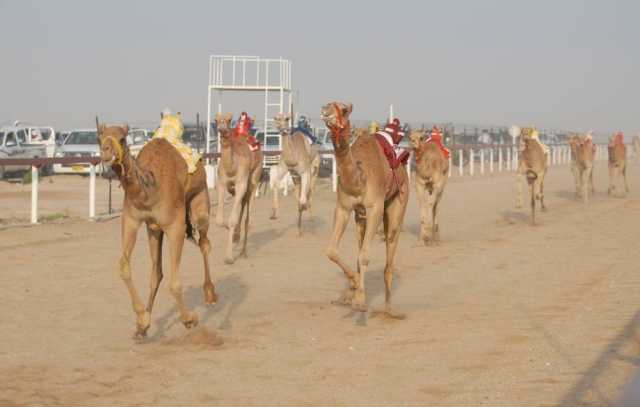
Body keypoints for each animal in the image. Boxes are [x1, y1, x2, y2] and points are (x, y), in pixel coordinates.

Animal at [96, 122, 214, 340]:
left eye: (122, 139)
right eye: (99, 138)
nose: (105, 152)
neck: (149, 190)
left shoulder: (175, 227)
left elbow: (175, 284)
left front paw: (189, 319)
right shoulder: (132, 220)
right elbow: (124, 267)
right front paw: (142, 321)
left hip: (200, 197)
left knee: (204, 243)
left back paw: (210, 294)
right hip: (154, 231)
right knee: (156, 272)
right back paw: (143, 326)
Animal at [215, 112, 262, 264]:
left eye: (229, 120)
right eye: (216, 120)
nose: (222, 129)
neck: (232, 167)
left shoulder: (241, 183)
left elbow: (232, 220)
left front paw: (229, 257)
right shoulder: (222, 183)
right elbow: (219, 220)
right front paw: (234, 235)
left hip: (254, 178)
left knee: (248, 216)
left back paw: (243, 252)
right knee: (242, 204)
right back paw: (237, 236)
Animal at [320, 100, 410, 318]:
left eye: (344, 110)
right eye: (327, 104)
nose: (326, 112)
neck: (359, 180)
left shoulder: (375, 207)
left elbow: (365, 256)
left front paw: (360, 301)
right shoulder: (344, 208)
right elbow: (332, 251)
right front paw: (353, 287)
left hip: (399, 201)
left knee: (389, 254)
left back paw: (389, 310)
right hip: (360, 218)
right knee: (360, 246)